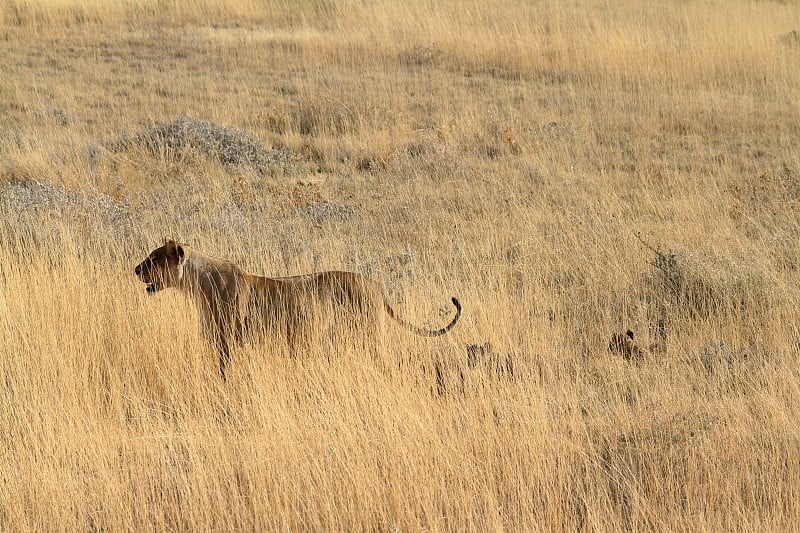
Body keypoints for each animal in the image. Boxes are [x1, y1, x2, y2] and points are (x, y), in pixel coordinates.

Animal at [134, 237, 460, 378]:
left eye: (154, 258)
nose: (135, 269)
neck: (196, 285)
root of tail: (376, 285)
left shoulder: (227, 341)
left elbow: (223, 373)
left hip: (368, 337)